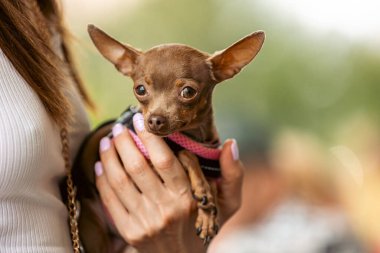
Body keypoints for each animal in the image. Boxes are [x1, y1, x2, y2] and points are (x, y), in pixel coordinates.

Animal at [73, 24, 264, 253]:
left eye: (188, 91)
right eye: (140, 89)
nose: (155, 120)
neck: (191, 138)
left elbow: (206, 178)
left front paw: (207, 211)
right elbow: (186, 155)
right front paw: (202, 188)